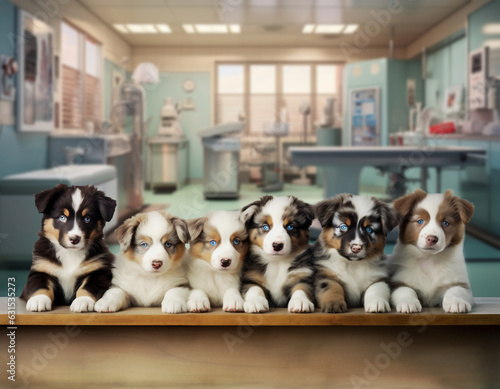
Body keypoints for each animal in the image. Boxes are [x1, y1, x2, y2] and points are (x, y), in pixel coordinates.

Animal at [21, 184, 116, 312]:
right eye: (62, 217)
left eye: (87, 218)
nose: (75, 239)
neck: (70, 253)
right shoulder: (40, 269)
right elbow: (40, 285)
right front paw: (38, 300)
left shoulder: (99, 272)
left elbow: (87, 286)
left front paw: (83, 301)